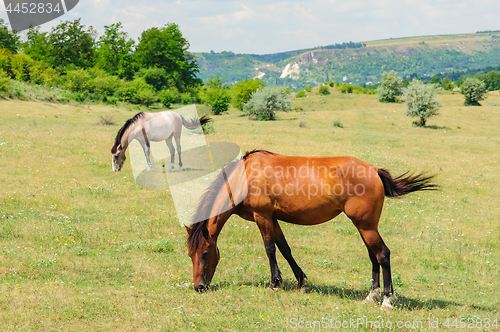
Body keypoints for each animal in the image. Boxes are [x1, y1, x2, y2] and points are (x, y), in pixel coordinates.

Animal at [186, 149, 436, 310]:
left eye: (205, 253)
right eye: (190, 255)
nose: (199, 287)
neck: (245, 177)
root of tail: (374, 170)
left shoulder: (262, 216)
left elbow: (270, 249)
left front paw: (274, 283)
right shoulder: (273, 218)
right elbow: (285, 249)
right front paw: (300, 281)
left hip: (366, 226)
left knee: (383, 254)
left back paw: (386, 299)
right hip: (365, 227)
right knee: (373, 256)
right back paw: (371, 296)